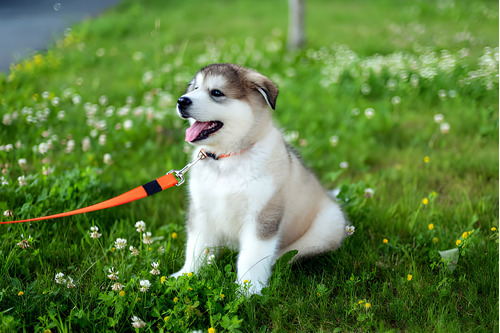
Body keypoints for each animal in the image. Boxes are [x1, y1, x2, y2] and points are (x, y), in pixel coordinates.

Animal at [172, 63, 348, 294]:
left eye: (216, 93)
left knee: (292, 253)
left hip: (327, 226)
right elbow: (196, 247)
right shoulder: (202, 211)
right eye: (195, 88)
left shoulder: (262, 215)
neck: (227, 159)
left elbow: (252, 257)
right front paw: (185, 276)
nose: (181, 101)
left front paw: (249, 291)